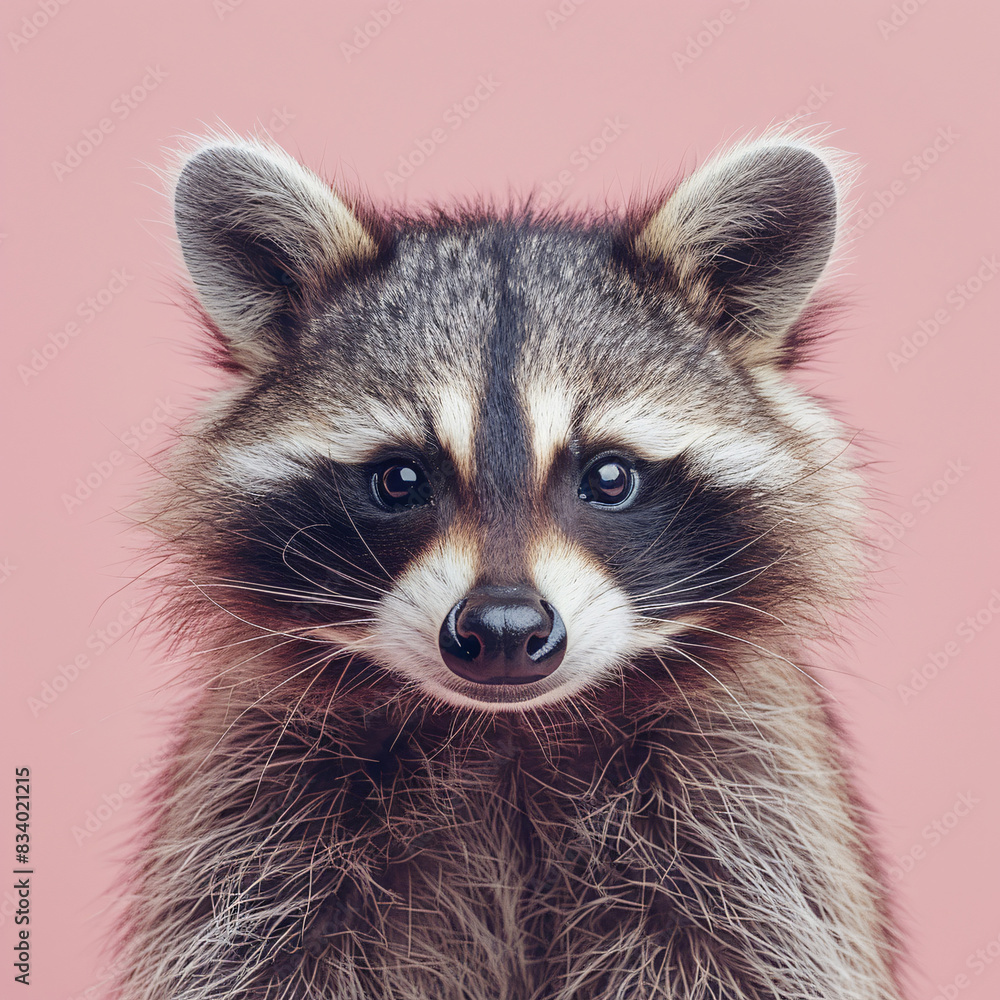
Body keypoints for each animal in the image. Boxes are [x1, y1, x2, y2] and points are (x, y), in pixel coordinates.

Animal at [113, 132, 903, 1000]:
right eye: (400, 479)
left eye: (610, 477)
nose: (501, 629)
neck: (504, 733)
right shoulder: (255, 812)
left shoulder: (751, 814)